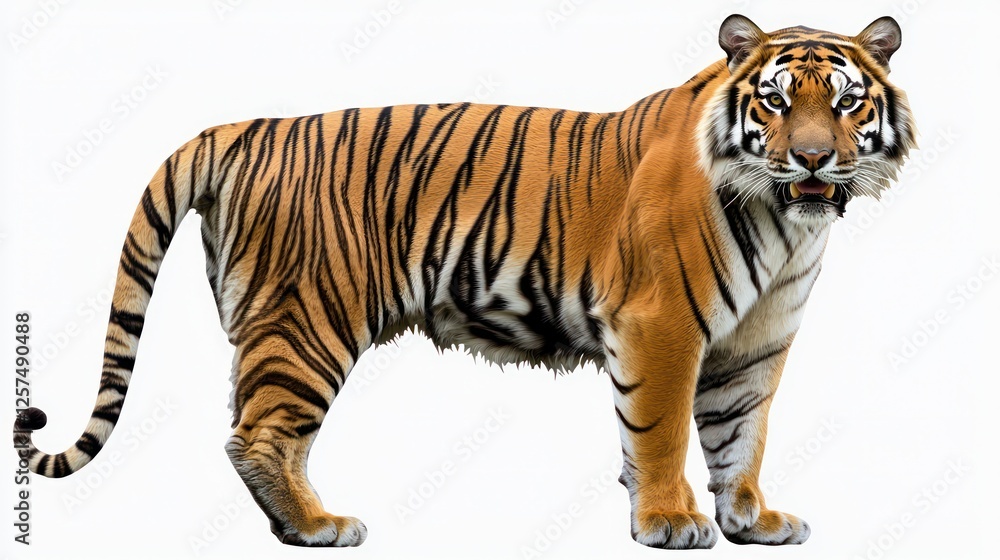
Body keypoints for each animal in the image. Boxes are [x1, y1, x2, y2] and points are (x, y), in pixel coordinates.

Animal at [13, 14, 915, 549]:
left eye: (845, 103)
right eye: (774, 103)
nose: (812, 158)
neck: (785, 224)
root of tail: (247, 126)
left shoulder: (754, 343)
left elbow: (740, 434)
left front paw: (751, 519)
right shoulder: (660, 325)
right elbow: (658, 432)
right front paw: (668, 519)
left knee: (266, 430)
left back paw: (302, 522)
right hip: (307, 319)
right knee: (258, 433)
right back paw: (318, 527)